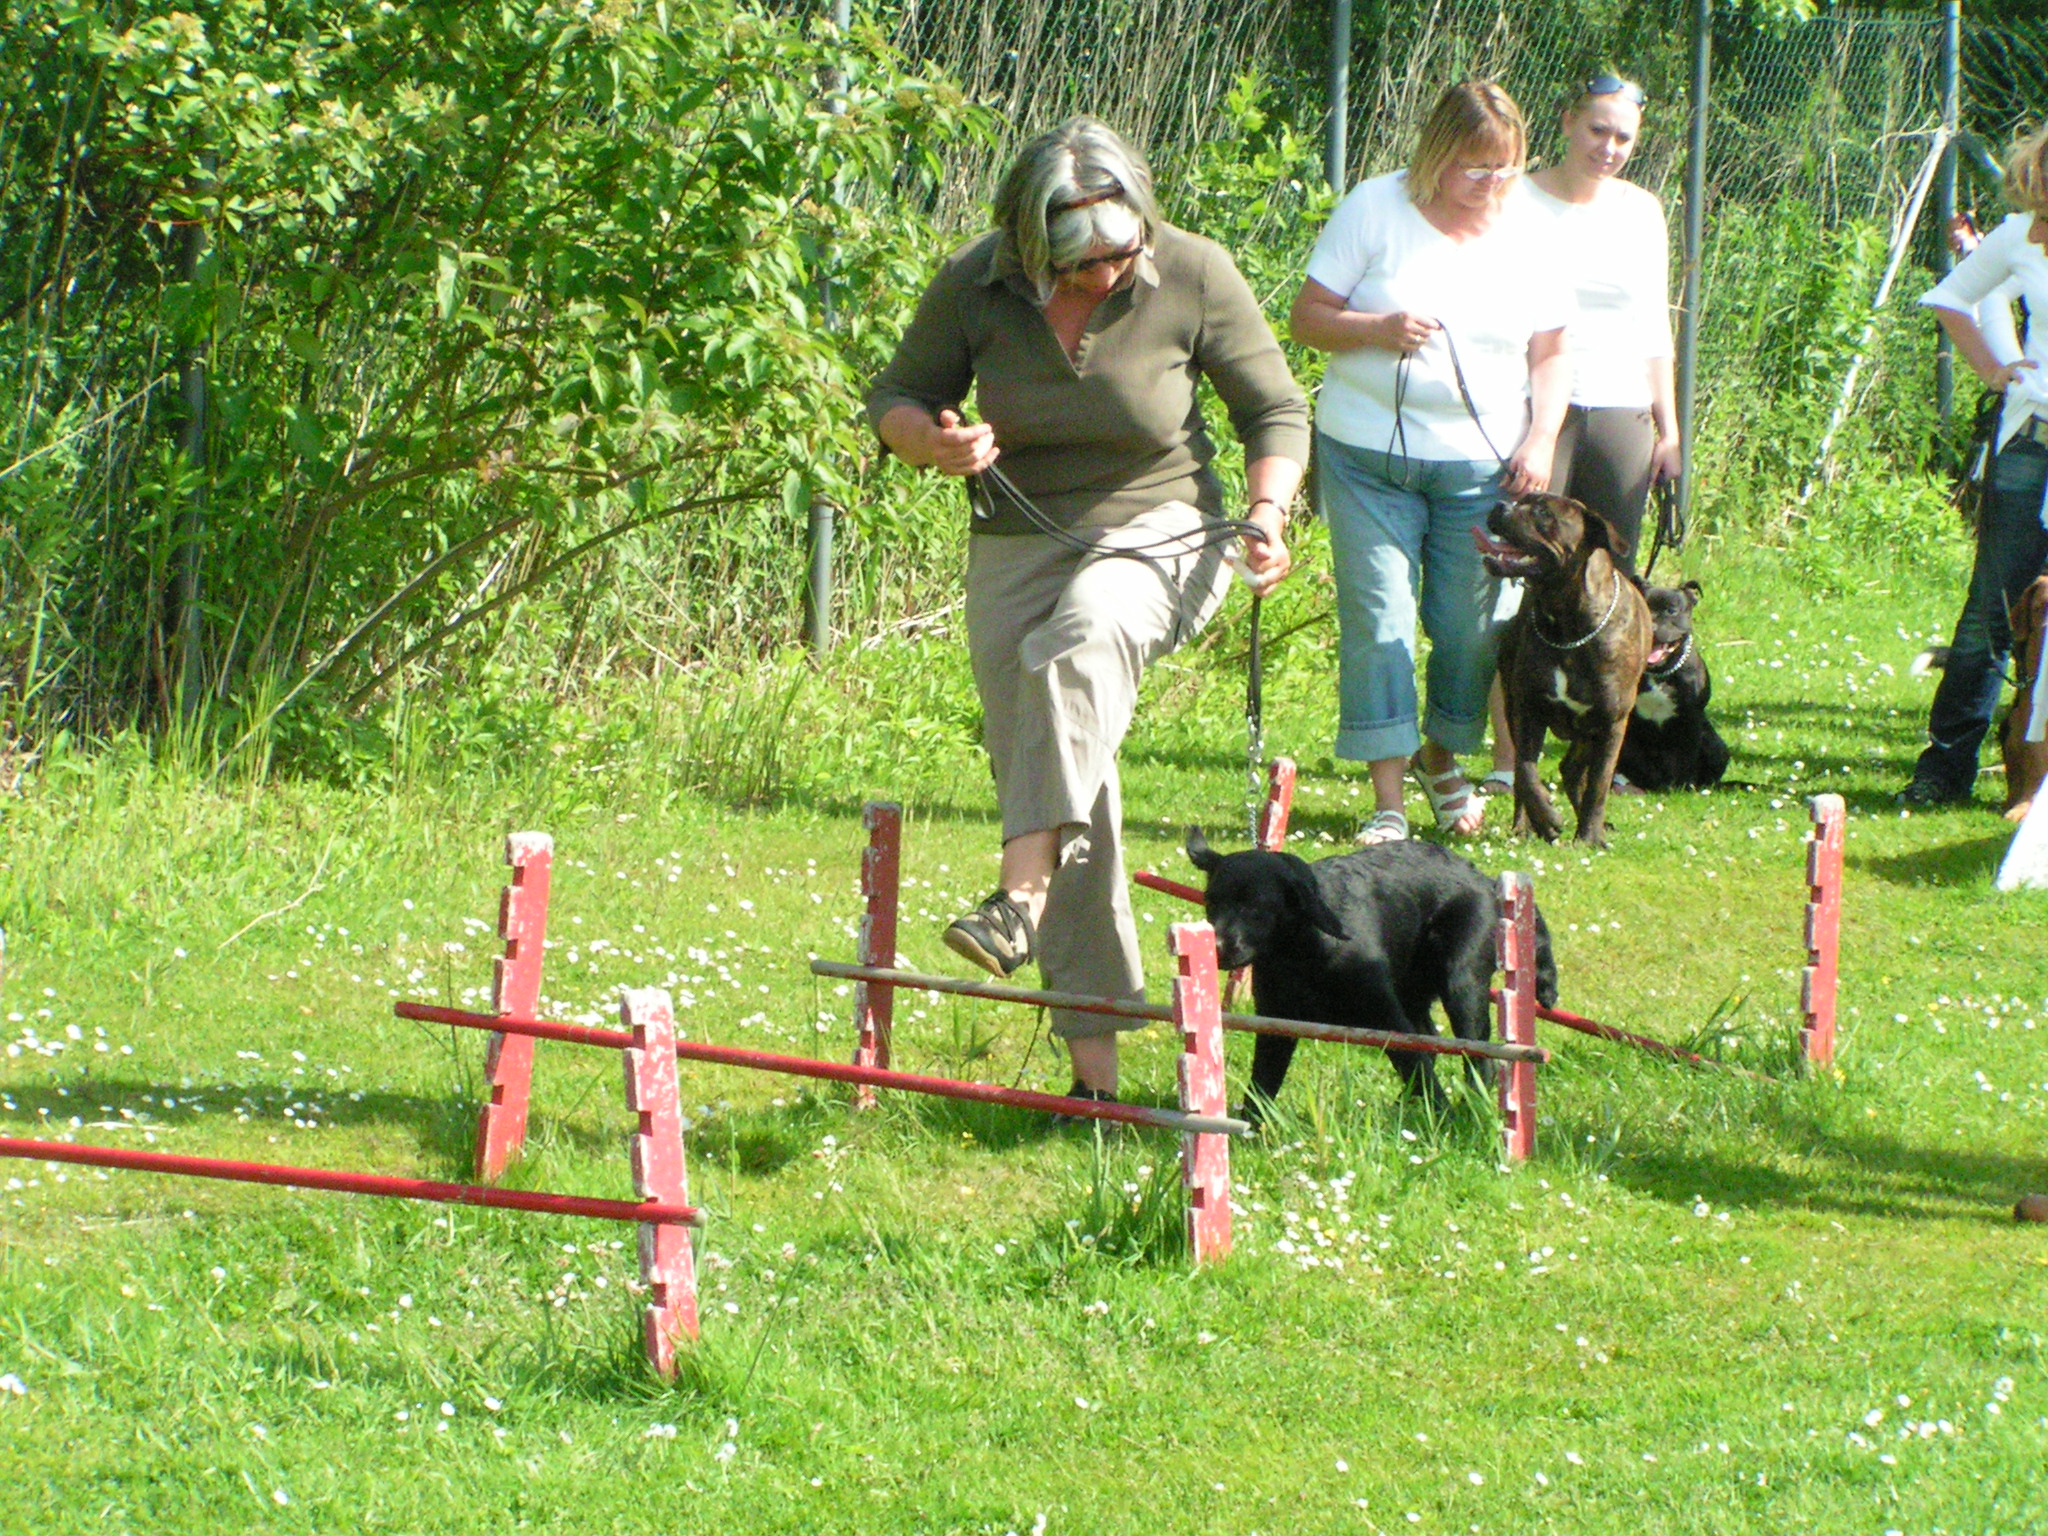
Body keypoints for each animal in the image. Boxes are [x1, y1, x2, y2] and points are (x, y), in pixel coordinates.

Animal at [1185, 828, 1557, 1125]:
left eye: (1254, 907)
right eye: (1210, 901)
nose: (1216, 946)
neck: (1303, 950)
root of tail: (1485, 880)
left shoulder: (1385, 1015)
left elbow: (1416, 1065)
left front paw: (1444, 1121)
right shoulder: (1276, 1024)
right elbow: (1262, 1084)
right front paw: (1249, 1129)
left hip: (1460, 983)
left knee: (1477, 1058)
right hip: (1412, 990)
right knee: (1431, 1041)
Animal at [1478, 493, 1652, 848]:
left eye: (1543, 512)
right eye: (1521, 501)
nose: (1502, 505)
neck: (1566, 627)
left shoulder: (1611, 724)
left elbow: (1599, 786)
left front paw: (1588, 837)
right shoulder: (1527, 710)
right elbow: (1525, 771)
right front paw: (1546, 820)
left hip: (1591, 731)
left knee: (1574, 771)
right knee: (1554, 772)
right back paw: (1524, 827)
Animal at [1614, 581, 1730, 791]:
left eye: (1671, 611)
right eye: (1643, 606)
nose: (1651, 627)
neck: (1660, 672)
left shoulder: (1691, 719)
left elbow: (1687, 757)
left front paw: (1685, 786)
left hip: (1716, 745)